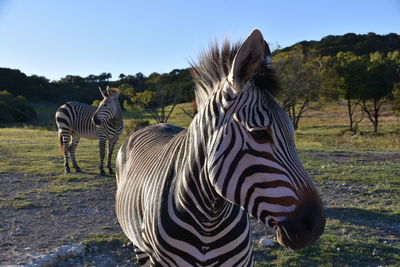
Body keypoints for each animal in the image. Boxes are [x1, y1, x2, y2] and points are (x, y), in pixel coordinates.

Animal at [113, 30, 324, 266]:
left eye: (292, 134)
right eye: (260, 134)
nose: (316, 225)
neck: (210, 220)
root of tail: (156, 125)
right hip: (138, 246)